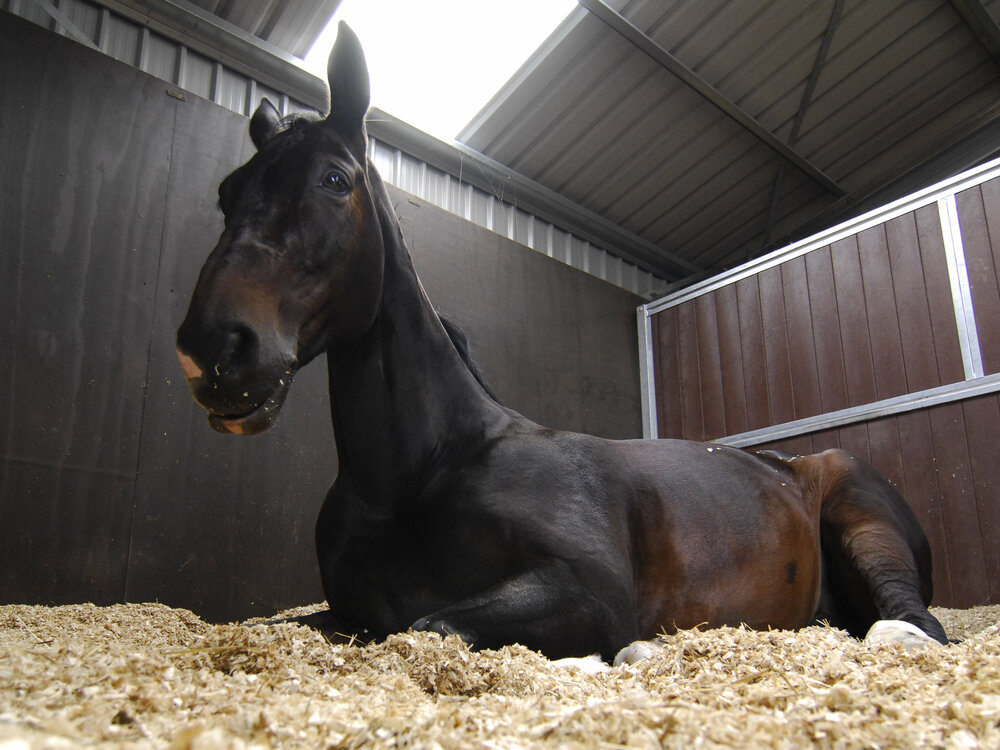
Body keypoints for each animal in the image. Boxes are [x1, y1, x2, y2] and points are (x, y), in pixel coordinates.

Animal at [176, 22, 948, 661]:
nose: (213, 349)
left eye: (335, 180)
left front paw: (627, 652)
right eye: (227, 193)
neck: (421, 472)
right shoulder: (340, 612)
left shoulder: (587, 586)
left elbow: (432, 626)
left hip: (866, 523)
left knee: (914, 622)